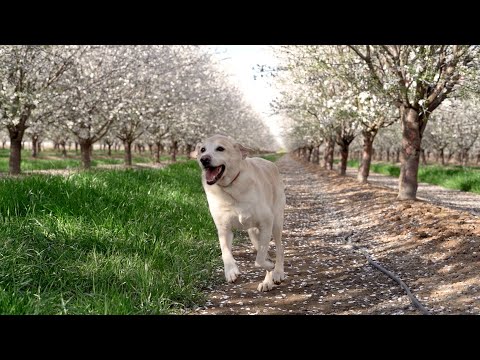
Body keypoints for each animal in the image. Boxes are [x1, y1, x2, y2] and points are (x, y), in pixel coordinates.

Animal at [192, 134, 284, 292]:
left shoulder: (266, 222)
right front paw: (231, 271)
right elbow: (225, 251)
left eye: (220, 148)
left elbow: (259, 260)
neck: (231, 188)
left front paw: (271, 266)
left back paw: (278, 272)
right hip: (254, 234)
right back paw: (267, 282)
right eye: (202, 149)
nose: (204, 159)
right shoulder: (223, 229)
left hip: (275, 224)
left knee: (279, 248)